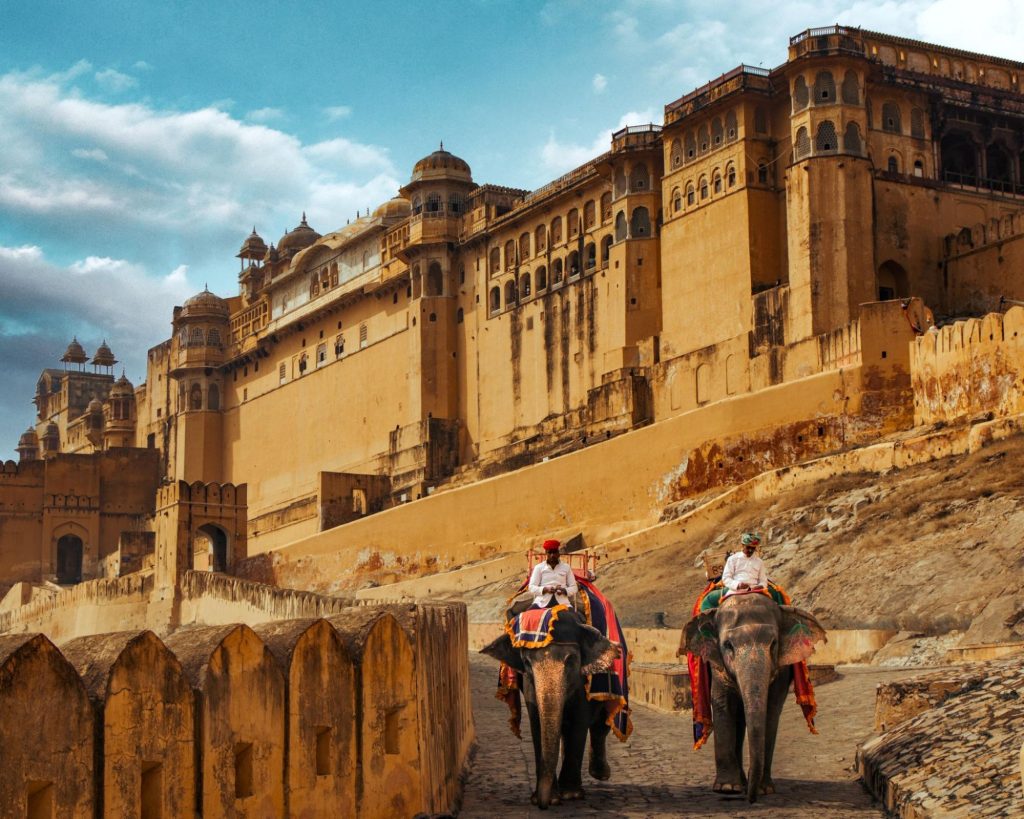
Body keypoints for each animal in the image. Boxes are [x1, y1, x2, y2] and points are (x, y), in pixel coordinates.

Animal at [483, 606, 618, 806]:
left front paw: (570, 795)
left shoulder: (582, 680)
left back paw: (600, 774)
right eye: (527, 662)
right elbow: (536, 722)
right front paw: (551, 798)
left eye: (571, 660)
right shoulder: (529, 683)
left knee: (601, 724)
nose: (542, 805)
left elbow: (579, 721)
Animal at [684, 593, 827, 802]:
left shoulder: (782, 668)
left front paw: (763, 789)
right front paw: (727, 788)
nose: (750, 800)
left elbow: (771, 710)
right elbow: (723, 705)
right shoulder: (717, 663)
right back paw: (739, 784)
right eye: (728, 645)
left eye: (774, 643)